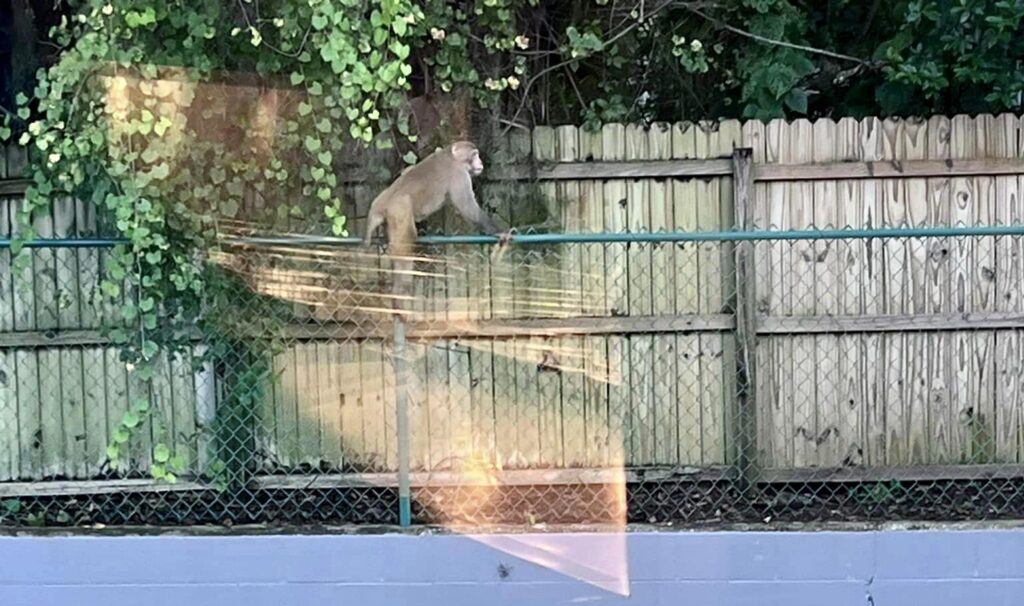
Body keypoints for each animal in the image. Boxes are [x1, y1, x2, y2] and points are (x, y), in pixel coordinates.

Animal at [364, 140, 509, 310]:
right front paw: (498, 231)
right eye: (474, 155)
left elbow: (408, 170)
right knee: (405, 247)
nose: (480, 163)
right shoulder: (459, 175)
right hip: (400, 210)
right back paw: (399, 292)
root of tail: (381, 204)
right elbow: (467, 208)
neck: (451, 156)